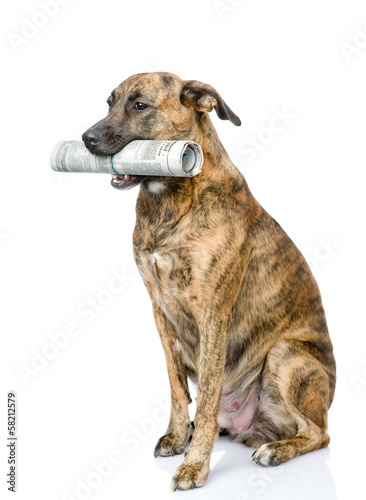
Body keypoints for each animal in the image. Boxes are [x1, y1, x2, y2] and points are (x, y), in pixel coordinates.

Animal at [81, 72, 336, 490]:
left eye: (139, 105)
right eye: (109, 102)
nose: (86, 138)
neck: (172, 200)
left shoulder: (213, 313)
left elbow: (209, 394)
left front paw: (194, 466)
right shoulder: (159, 310)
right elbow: (176, 387)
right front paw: (176, 436)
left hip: (285, 354)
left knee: (319, 433)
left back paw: (275, 450)